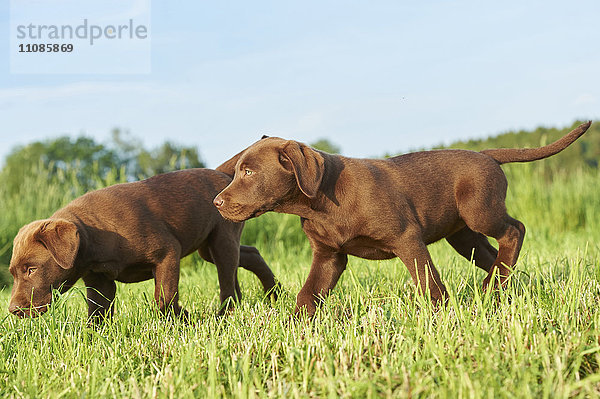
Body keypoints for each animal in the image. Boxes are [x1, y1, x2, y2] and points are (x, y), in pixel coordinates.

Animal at [9, 169, 276, 322]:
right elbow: (97, 313)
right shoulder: (99, 281)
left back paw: (225, 314)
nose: (13, 310)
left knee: (227, 279)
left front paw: (182, 319)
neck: (93, 238)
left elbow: (164, 298)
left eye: (31, 269)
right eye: (13, 273)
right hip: (208, 246)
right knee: (249, 255)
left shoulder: (167, 253)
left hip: (222, 239)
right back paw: (274, 293)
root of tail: (226, 175)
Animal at [214, 121, 592, 316]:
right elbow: (308, 294)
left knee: (515, 230)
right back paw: (497, 290)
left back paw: (492, 289)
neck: (319, 204)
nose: (217, 203)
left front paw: (441, 318)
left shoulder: (407, 239)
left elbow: (429, 283)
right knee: (494, 255)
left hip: (480, 212)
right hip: (464, 236)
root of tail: (486, 155)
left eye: (248, 172)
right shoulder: (329, 256)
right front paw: (297, 326)